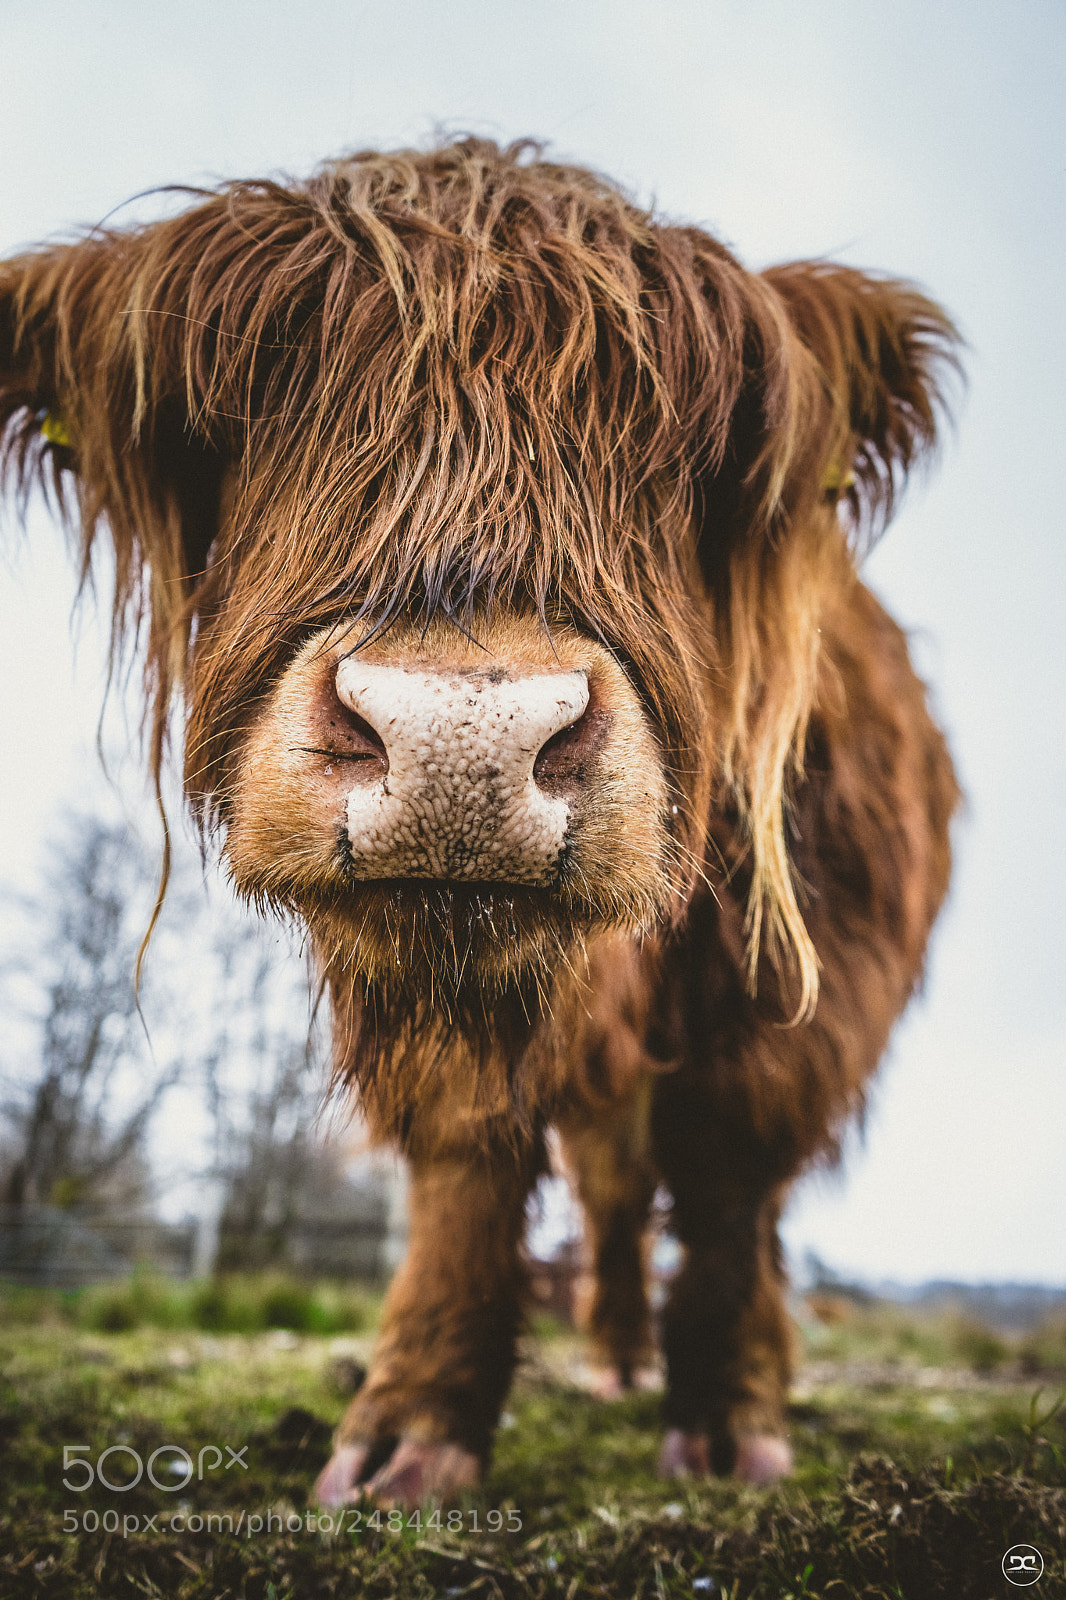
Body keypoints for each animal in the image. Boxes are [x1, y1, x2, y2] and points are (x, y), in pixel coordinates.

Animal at [0, 137, 960, 1506]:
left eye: (688, 450)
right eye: (248, 409)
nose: (463, 736)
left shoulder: (818, 946)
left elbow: (731, 1160)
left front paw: (733, 1420)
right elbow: (466, 1146)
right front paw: (408, 1430)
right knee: (609, 1185)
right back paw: (610, 1359)